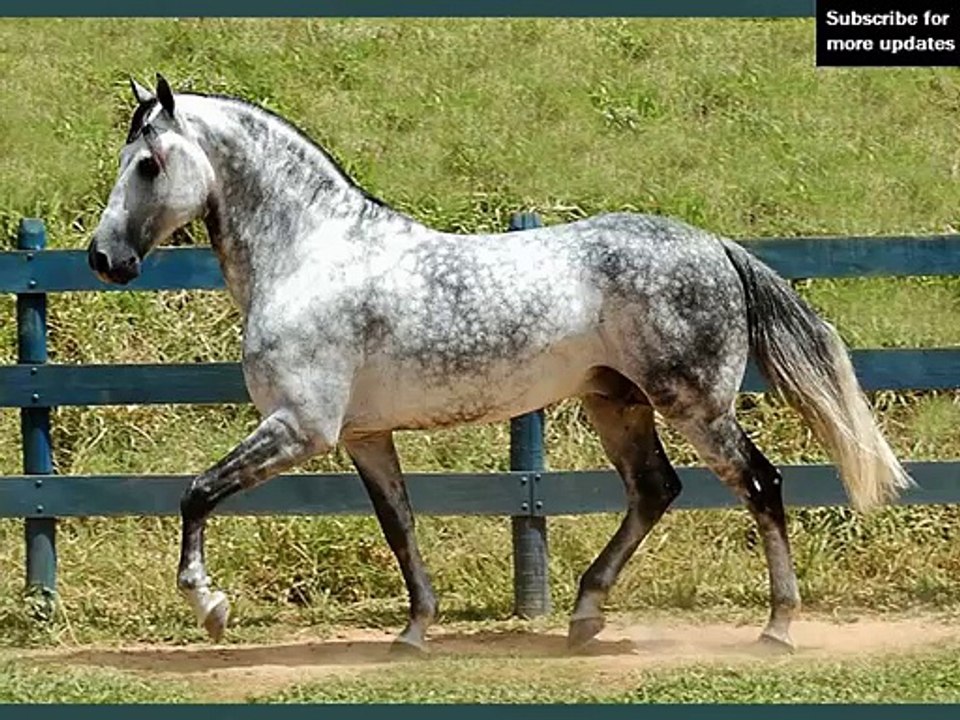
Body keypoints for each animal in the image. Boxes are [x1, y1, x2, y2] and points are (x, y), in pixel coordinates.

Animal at [87, 74, 911, 654]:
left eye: (150, 164)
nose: (104, 258)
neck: (312, 255)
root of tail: (714, 244)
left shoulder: (300, 428)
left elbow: (197, 494)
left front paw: (210, 607)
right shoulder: (362, 437)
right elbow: (400, 525)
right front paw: (414, 632)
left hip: (696, 406)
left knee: (761, 485)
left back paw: (777, 628)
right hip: (616, 404)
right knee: (654, 490)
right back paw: (584, 615)